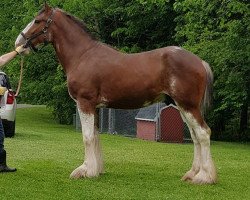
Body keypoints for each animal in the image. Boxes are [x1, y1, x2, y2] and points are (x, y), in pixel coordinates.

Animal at [15, 3, 217, 184]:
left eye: (37, 20)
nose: (19, 43)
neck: (83, 55)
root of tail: (199, 61)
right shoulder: (95, 107)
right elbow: (95, 136)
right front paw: (96, 170)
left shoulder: (84, 103)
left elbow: (87, 137)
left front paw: (85, 171)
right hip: (182, 107)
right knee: (195, 136)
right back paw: (192, 174)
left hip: (188, 106)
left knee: (203, 133)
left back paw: (204, 177)